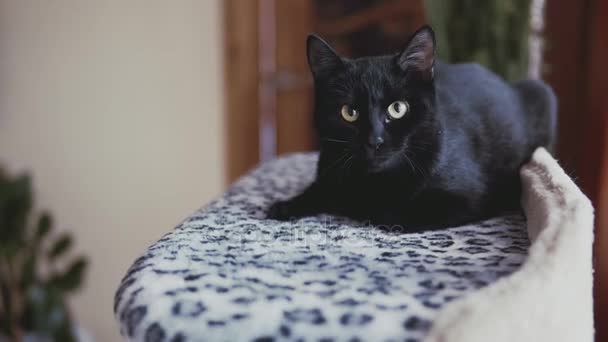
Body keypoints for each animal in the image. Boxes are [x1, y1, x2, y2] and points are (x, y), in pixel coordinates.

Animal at [266, 25, 556, 231]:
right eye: (349, 113)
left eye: (398, 108)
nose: (374, 140)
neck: (374, 181)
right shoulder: (329, 167)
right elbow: (322, 188)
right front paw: (287, 205)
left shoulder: (463, 200)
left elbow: (388, 213)